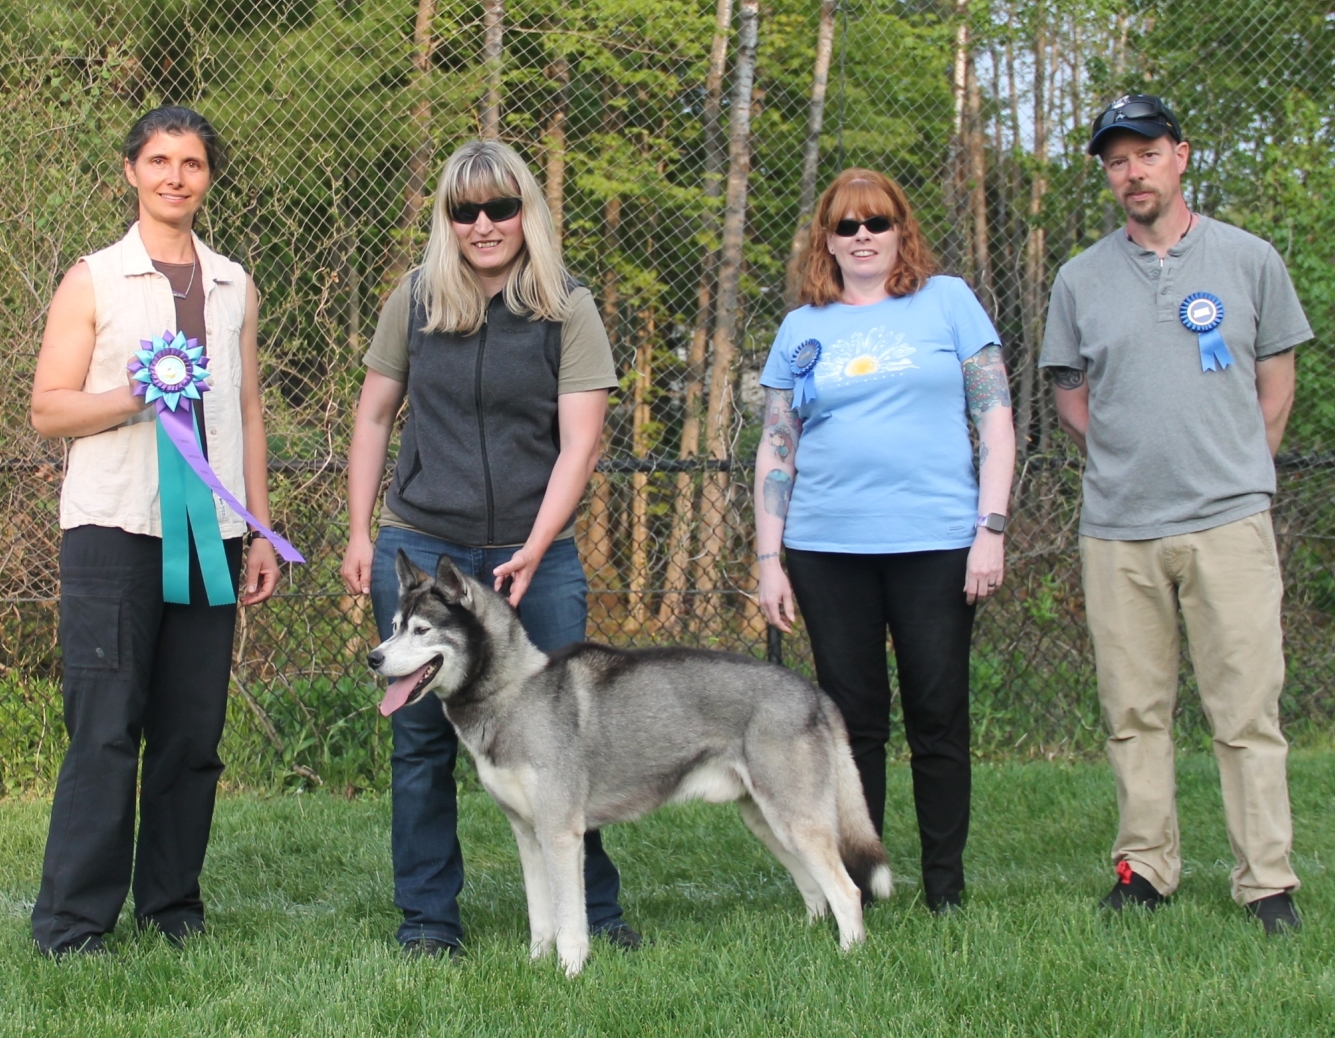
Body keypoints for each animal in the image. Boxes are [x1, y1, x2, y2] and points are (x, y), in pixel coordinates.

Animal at [368, 551, 892, 976]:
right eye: (393, 627)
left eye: (422, 630)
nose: (373, 659)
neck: (514, 692)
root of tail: (813, 691)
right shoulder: (528, 836)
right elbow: (541, 920)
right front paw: (536, 965)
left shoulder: (562, 836)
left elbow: (569, 919)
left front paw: (569, 972)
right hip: (768, 822)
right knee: (815, 889)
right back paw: (810, 940)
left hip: (795, 821)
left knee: (847, 891)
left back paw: (849, 956)